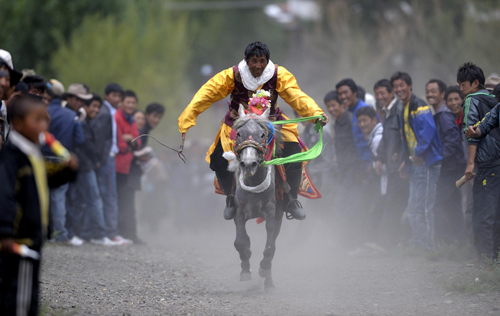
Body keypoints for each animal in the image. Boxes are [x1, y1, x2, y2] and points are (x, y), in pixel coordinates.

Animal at [228, 105, 284, 292]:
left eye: (262, 135)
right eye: (239, 134)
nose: (248, 164)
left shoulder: (272, 212)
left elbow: (270, 246)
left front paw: (264, 268)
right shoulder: (239, 211)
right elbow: (240, 242)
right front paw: (246, 268)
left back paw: (269, 282)